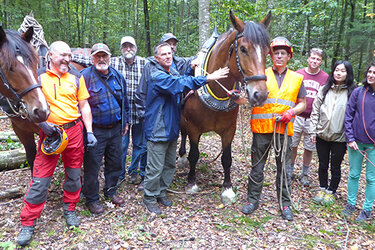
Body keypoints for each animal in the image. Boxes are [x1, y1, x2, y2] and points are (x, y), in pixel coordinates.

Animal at [180, 10, 272, 204]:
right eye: (243, 49)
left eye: (267, 50)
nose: (260, 94)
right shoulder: (193, 128)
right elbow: (194, 154)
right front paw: (191, 182)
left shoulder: (229, 130)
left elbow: (227, 158)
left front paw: (227, 188)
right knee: (182, 133)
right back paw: (182, 156)